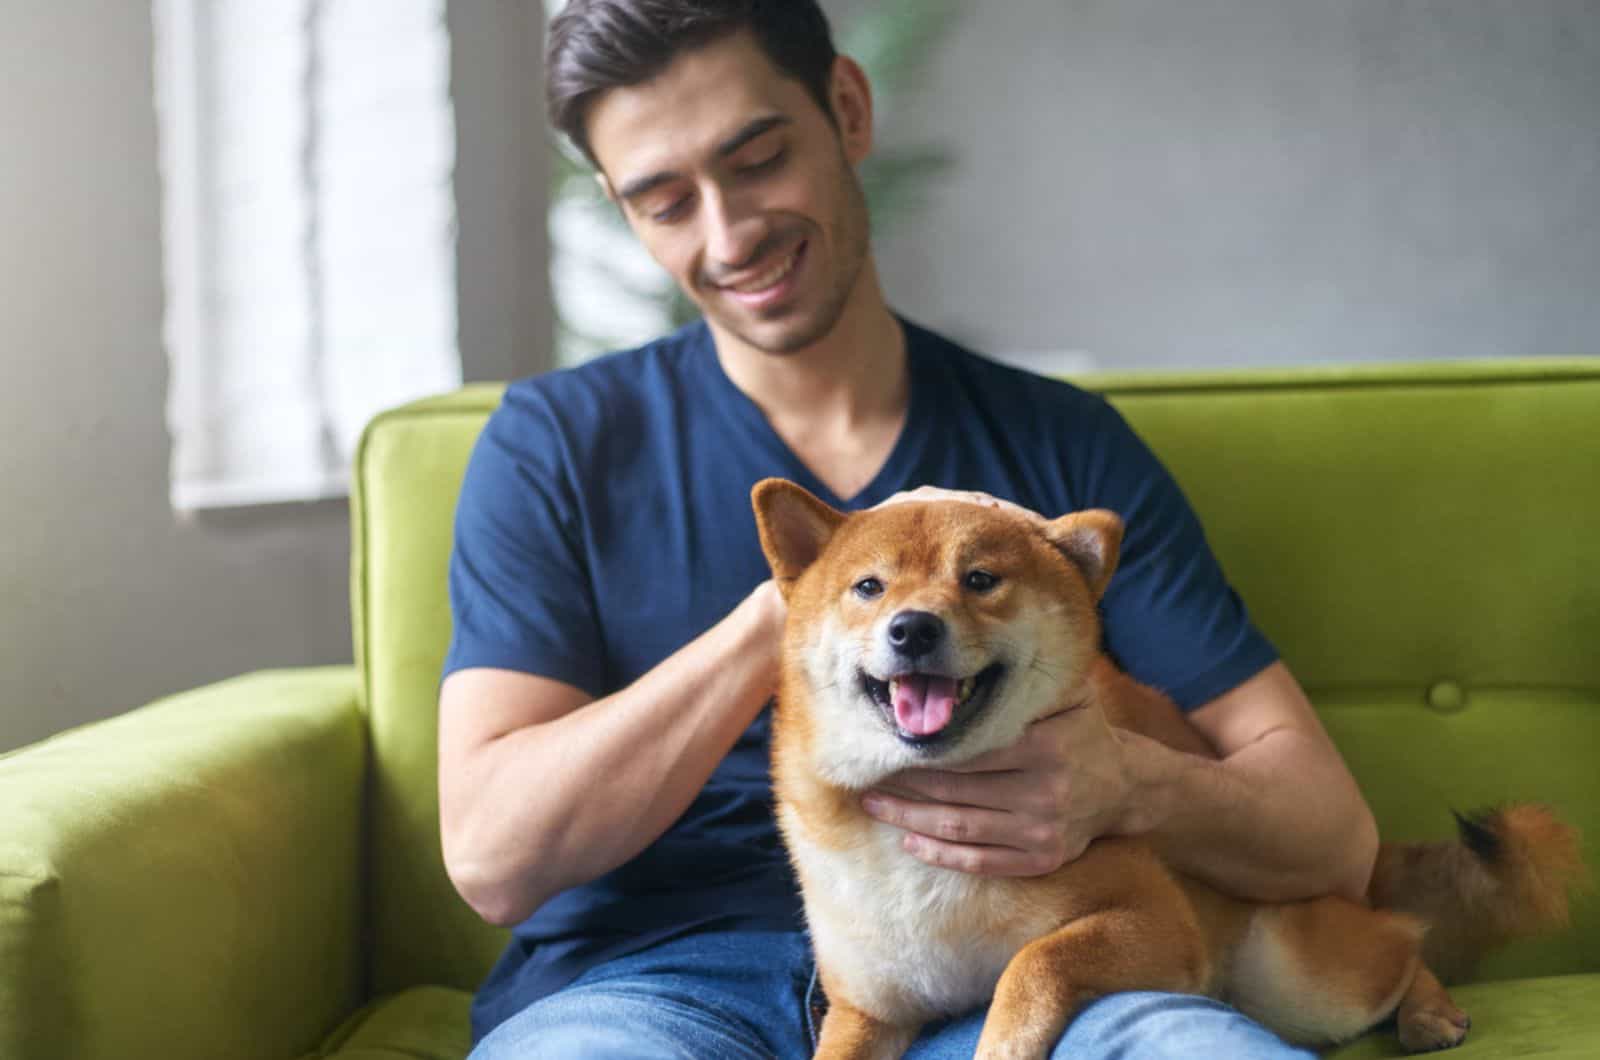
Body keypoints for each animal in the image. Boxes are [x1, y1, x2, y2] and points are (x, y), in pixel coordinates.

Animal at [752, 483, 1587, 1060]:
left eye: (981, 580)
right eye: (869, 588)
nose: (913, 629)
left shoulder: (1155, 922)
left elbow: (1033, 960)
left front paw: (1004, 1039)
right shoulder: (868, 1010)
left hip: (1298, 976)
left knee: (1402, 945)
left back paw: (1428, 1007)